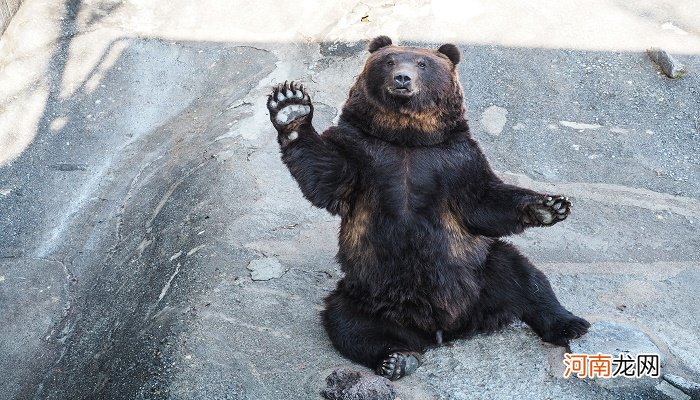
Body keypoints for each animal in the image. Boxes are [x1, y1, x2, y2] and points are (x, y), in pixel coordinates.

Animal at [266, 36, 588, 380]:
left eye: (422, 63)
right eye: (390, 61)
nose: (402, 78)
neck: (407, 139)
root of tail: (444, 329)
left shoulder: (455, 160)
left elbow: (483, 201)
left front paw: (550, 206)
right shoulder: (361, 152)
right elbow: (326, 174)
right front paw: (290, 107)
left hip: (480, 272)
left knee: (523, 276)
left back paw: (570, 324)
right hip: (365, 293)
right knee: (348, 323)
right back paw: (396, 358)